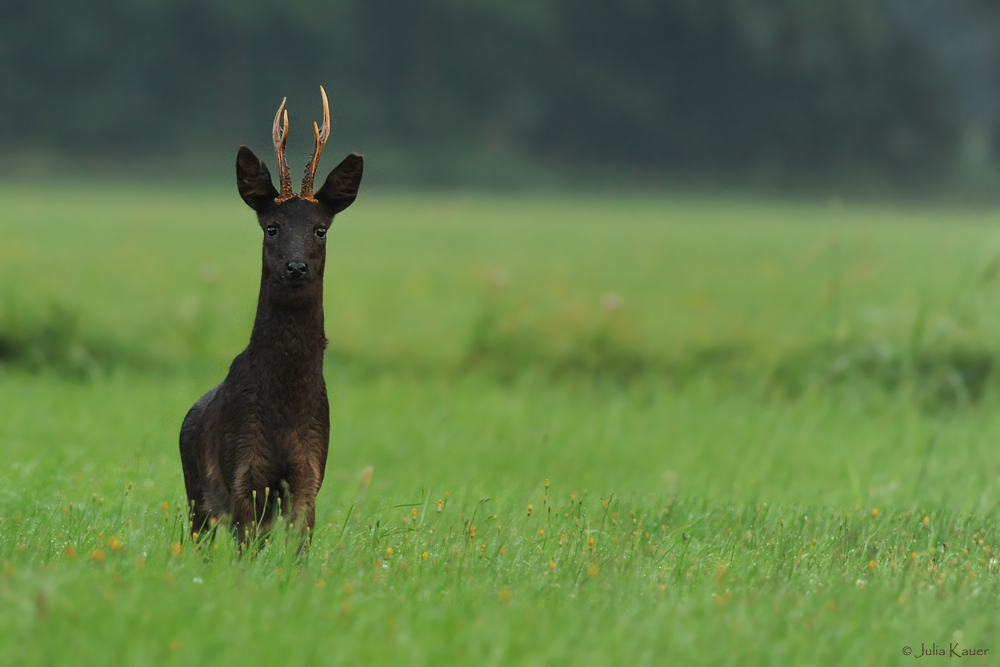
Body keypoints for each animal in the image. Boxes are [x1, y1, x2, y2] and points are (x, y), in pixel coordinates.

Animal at [180, 88, 364, 548]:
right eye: (272, 227)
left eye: (321, 229)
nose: (296, 267)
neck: (286, 404)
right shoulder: (240, 467)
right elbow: (245, 548)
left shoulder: (310, 467)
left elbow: (298, 547)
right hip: (196, 494)